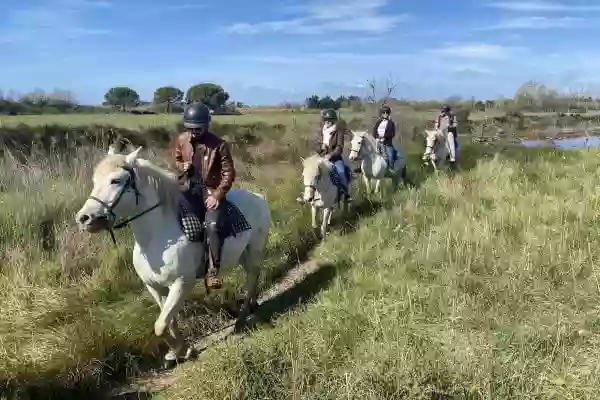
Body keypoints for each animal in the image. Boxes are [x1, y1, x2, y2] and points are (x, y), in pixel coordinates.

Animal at [74, 146, 270, 366]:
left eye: (115, 180)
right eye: (95, 181)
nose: (84, 218)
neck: (156, 237)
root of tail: (258, 197)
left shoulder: (181, 283)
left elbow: (160, 326)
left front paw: (184, 350)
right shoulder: (155, 288)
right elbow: (168, 322)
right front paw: (179, 351)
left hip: (254, 250)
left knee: (252, 277)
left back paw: (241, 319)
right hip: (243, 255)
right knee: (253, 276)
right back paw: (252, 306)